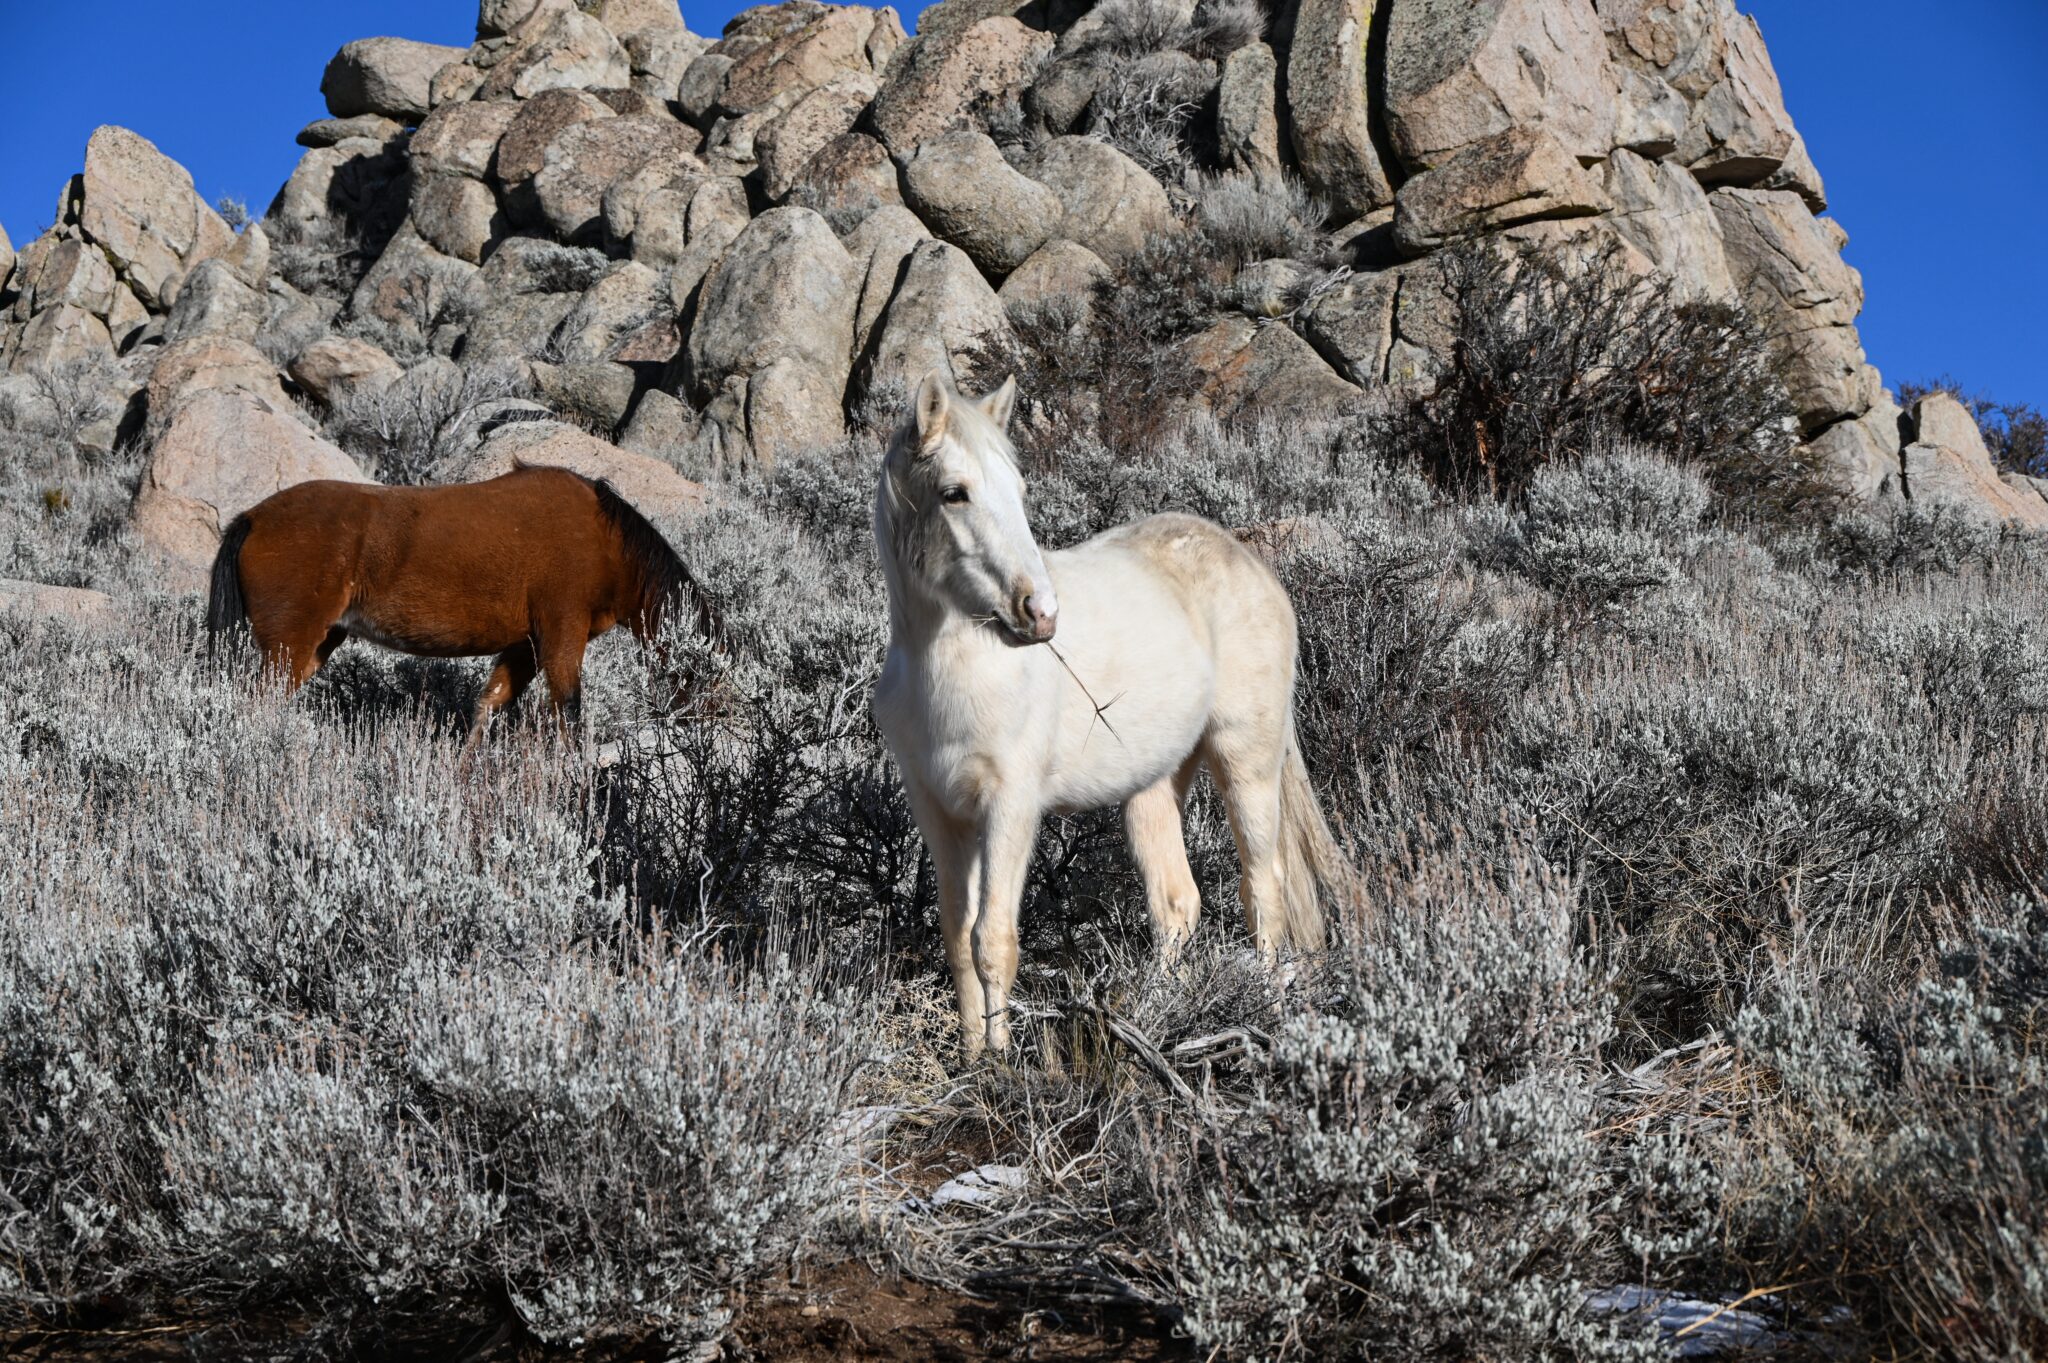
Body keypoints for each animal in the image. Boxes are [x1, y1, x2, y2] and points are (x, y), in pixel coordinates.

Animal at [206, 464, 716, 744]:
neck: (605, 543)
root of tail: (252, 518)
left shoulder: (526, 645)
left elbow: (488, 706)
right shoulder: (562, 634)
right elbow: (568, 710)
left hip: (316, 644)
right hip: (288, 647)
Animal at [872, 372, 1351, 1047]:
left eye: (1019, 489)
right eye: (953, 493)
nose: (1041, 614)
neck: (952, 673)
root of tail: (1255, 569)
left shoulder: (1011, 808)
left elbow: (995, 943)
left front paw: (1002, 1060)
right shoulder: (942, 814)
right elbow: (959, 941)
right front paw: (970, 1056)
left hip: (1247, 763)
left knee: (1264, 887)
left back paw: (1261, 1002)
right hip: (1154, 787)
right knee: (1177, 902)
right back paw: (1159, 1010)